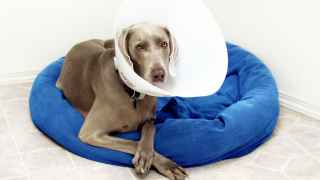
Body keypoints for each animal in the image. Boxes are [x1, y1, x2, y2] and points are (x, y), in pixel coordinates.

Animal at [56, 23, 188, 179]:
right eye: (139, 46)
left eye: (164, 44)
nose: (159, 74)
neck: (133, 93)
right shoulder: (90, 133)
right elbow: (131, 143)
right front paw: (157, 161)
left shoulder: (150, 119)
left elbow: (150, 128)